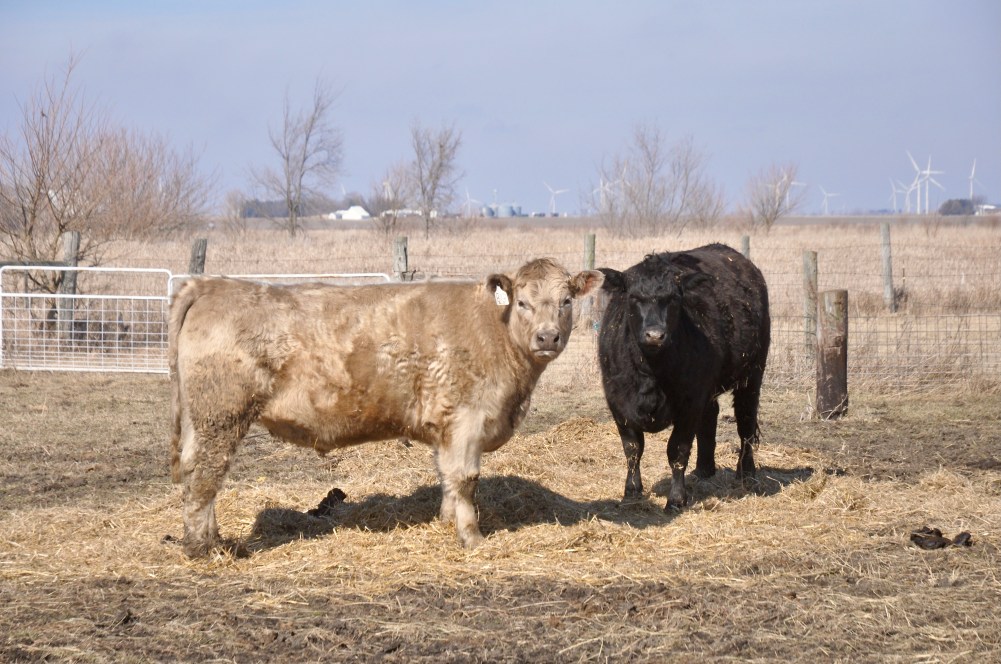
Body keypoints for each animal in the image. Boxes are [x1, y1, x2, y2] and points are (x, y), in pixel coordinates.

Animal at [168, 258, 602, 557]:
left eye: (566, 301)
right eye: (523, 302)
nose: (548, 337)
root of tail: (210, 285)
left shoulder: (445, 425)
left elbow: (446, 477)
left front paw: (446, 522)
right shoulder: (467, 418)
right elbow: (465, 479)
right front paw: (472, 538)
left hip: (198, 418)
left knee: (192, 471)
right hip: (220, 415)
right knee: (206, 476)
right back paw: (205, 548)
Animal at [597, 243, 770, 510]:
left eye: (674, 299)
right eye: (634, 297)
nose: (655, 335)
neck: (651, 373)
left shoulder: (689, 404)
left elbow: (677, 450)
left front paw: (677, 499)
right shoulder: (617, 401)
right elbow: (633, 448)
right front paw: (632, 491)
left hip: (752, 375)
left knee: (746, 424)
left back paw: (746, 473)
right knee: (710, 417)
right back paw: (704, 469)